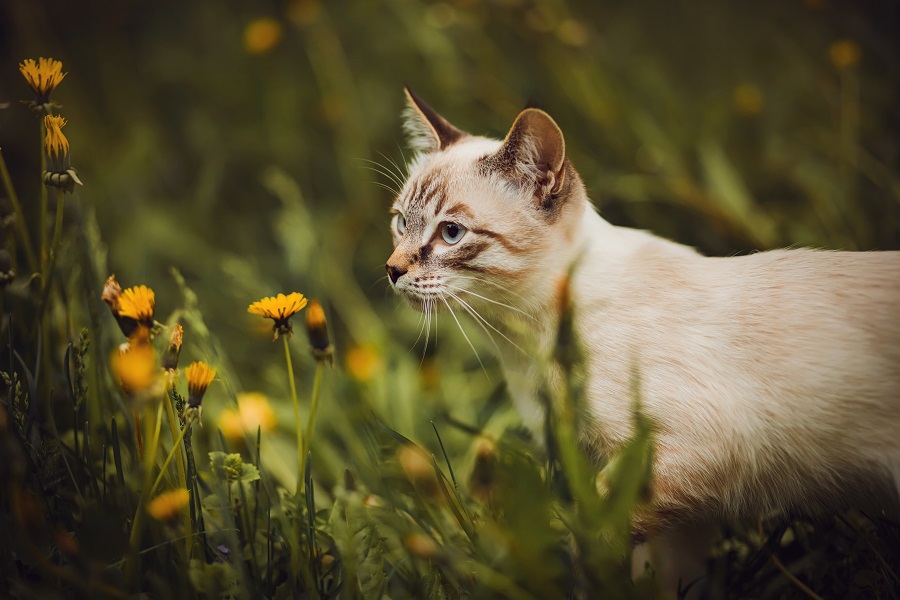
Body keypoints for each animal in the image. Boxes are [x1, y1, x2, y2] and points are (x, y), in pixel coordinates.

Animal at [384, 89, 900, 592]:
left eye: (451, 233)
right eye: (400, 223)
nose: (392, 270)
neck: (524, 346)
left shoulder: (686, 455)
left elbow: (595, 538)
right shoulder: (680, 508)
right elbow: (661, 577)